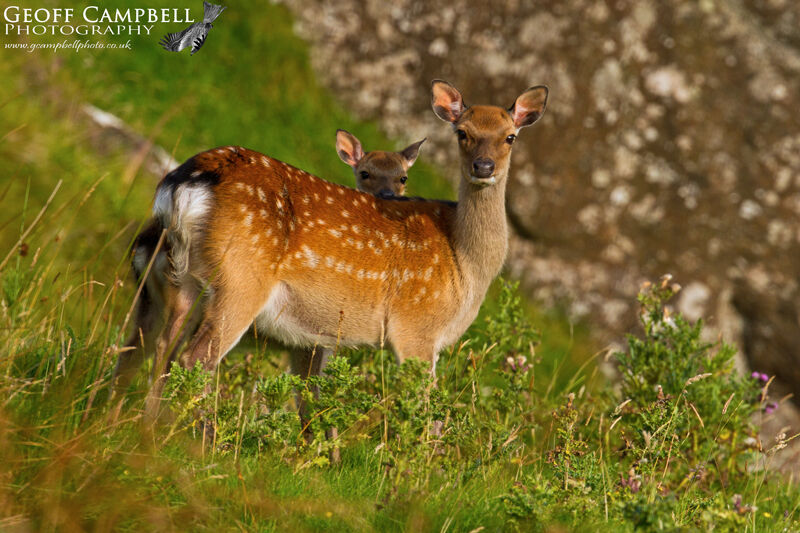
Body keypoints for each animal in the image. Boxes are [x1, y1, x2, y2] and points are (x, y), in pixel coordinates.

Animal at [112, 130, 426, 412]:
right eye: (364, 173)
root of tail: (183, 188)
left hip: (163, 290)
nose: (388, 196)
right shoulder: (319, 341)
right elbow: (312, 402)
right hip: (237, 285)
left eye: (403, 178)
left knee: (142, 351)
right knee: (193, 358)